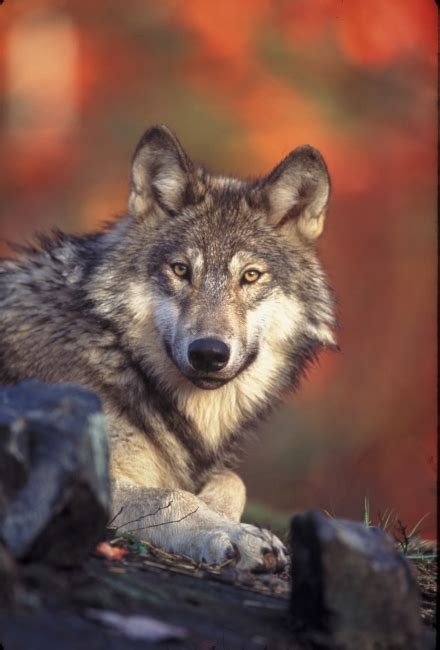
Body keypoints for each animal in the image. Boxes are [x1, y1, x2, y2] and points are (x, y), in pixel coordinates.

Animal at [0, 125, 336, 572]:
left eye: (250, 276)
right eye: (181, 270)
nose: (208, 353)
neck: (119, 355)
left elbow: (232, 480)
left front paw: (222, 514)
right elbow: (170, 497)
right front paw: (233, 534)